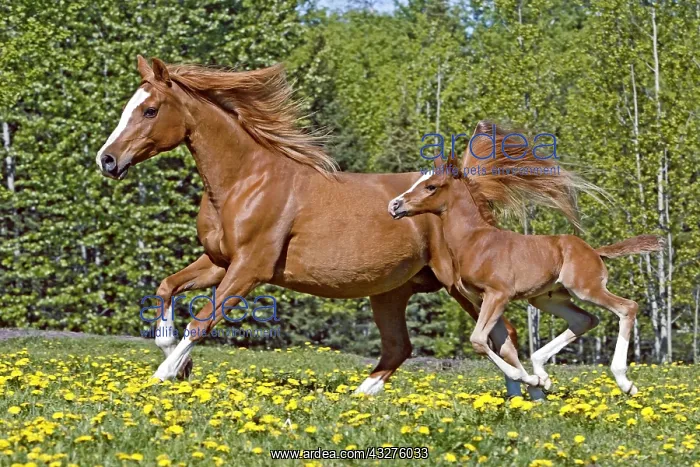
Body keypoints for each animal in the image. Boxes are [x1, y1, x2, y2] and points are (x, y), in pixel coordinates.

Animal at [95, 55, 586, 398]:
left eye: (150, 110)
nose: (107, 160)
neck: (244, 181)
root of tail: (466, 186)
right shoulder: (219, 261)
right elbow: (166, 288)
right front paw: (177, 363)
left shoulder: (249, 268)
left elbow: (201, 320)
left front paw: (164, 374)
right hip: (393, 291)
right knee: (403, 346)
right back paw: (366, 394)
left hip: (461, 285)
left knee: (502, 335)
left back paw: (528, 392)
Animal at [387, 165, 663, 395]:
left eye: (431, 186)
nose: (395, 205)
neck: (475, 241)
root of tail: (594, 251)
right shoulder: (482, 300)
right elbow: (501, 344)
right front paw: (535, 380)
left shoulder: (498, 295)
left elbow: (478, 340)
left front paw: (527, 378)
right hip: (546, 299)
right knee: (584, 319)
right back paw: (543, 371)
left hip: (586, 288)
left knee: (627, 308)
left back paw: (625, 382)